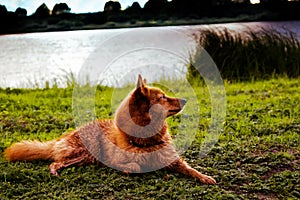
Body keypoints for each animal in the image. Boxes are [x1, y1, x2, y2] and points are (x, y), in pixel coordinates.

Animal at [4, 74, 216, 184]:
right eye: (162, 97)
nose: (185, 100)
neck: (146, 140)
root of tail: (61, 138)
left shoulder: (173, 160)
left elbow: (190, 169)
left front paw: (205, 177)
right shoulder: (116, 161)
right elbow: (134, 166)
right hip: (87, 152)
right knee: (55, 162)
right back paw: (54, 171)